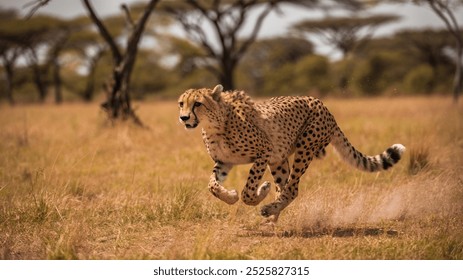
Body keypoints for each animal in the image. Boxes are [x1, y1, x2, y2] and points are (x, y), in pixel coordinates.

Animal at [178, 84, 406, 222]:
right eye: (181, 103)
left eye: (197, 103)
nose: (183, 117)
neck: (215, 126)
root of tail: (321, 103)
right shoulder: (224, 162)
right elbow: (212, 186)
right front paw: (231, 196)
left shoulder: (264, 152)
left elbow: (248, 190)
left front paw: (259, 191)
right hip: (279, 160)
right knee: (285, 187)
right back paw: (273, 214)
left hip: (304, 148)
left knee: (292, 188)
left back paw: (269, 210)